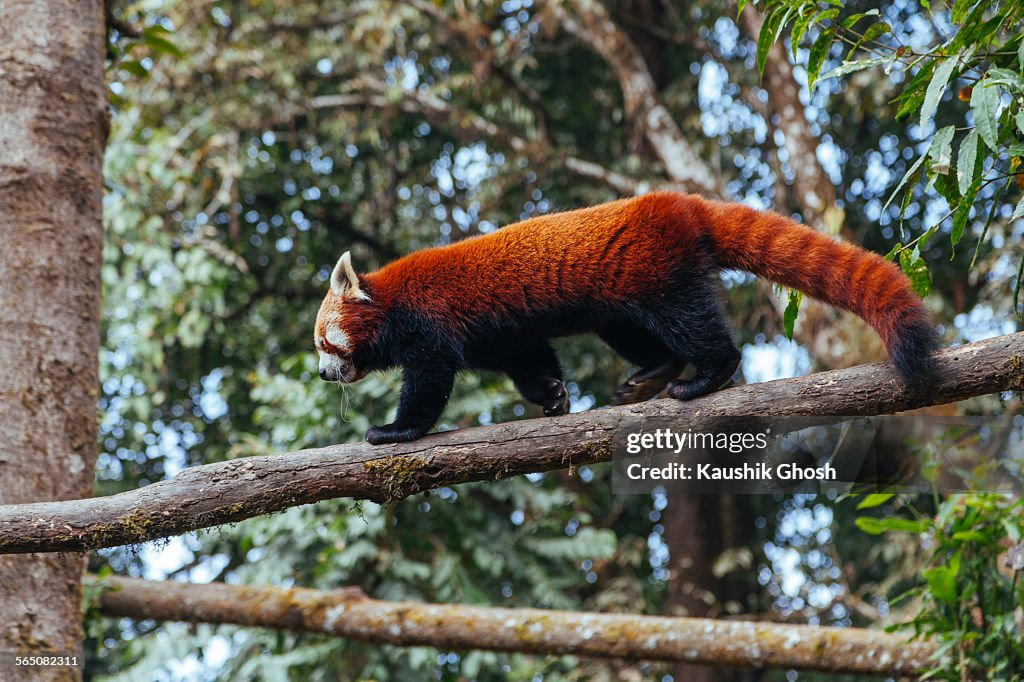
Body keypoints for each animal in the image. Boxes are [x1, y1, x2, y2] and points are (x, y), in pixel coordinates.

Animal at [315, 192, 937, 446]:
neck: (388, 301)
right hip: (617, 300)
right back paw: (652, 374)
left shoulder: (430, 324)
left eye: (326, 344)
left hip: (658, 275)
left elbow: (430, 381)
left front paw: (396, 431)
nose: (323, 375)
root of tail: (680, 204)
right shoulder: (500, 334)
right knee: (635, 335)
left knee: (694, 326)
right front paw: (552, 395)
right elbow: (528, 357)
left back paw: (705, 376)